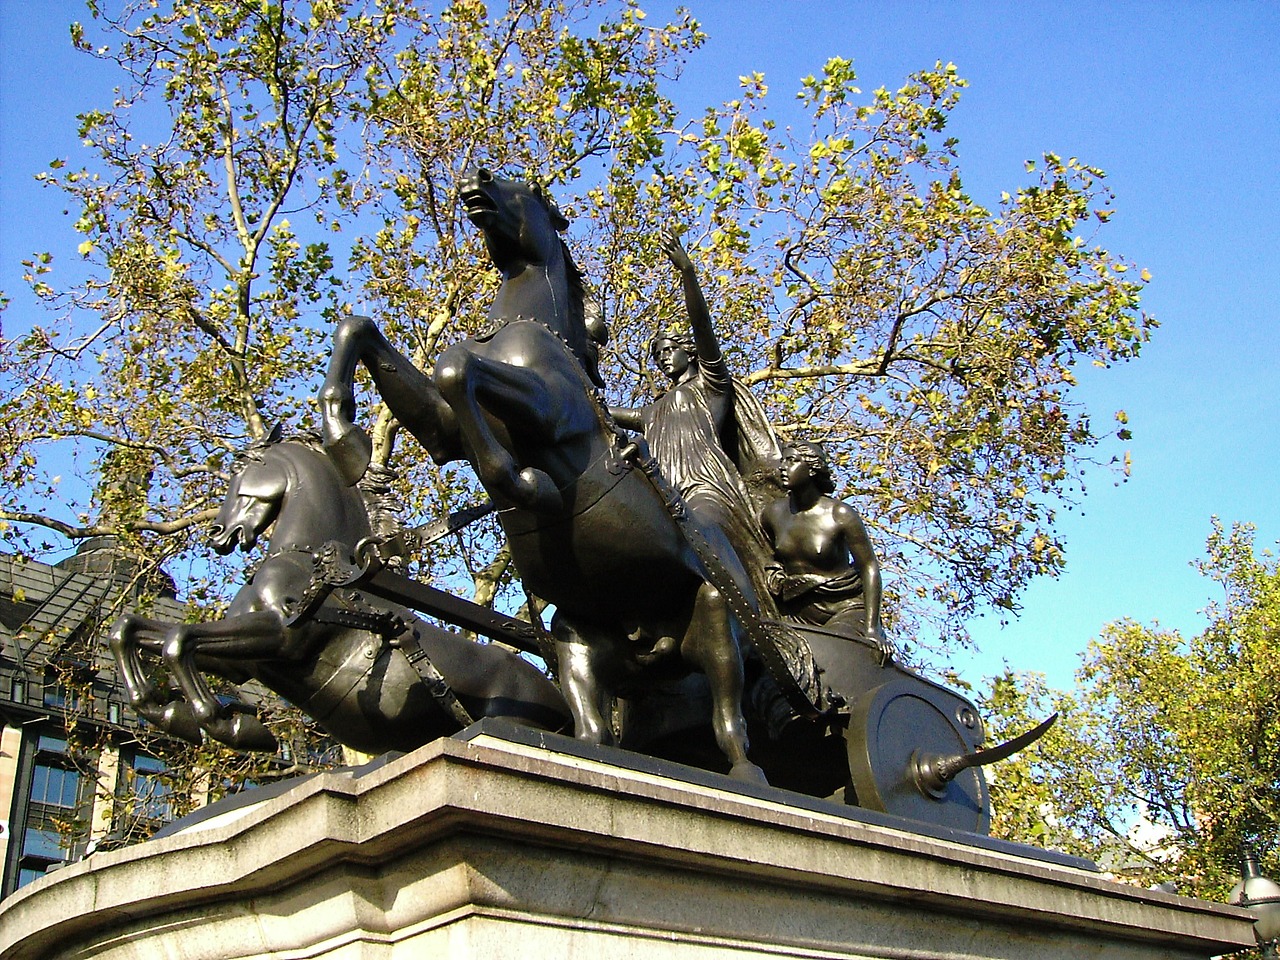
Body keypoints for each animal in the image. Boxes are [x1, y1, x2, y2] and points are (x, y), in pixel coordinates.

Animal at [320, 168, 768, 783]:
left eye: (527, 190)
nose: (475, 177)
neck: (523, 328)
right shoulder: (443, 432)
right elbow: (365, 330)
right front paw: (344, 438)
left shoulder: (550, 409)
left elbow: (457, 366)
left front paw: (521, 483)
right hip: (578, 637)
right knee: (595, 730)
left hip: (716, 616)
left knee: (731, 716)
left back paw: (746, 773)